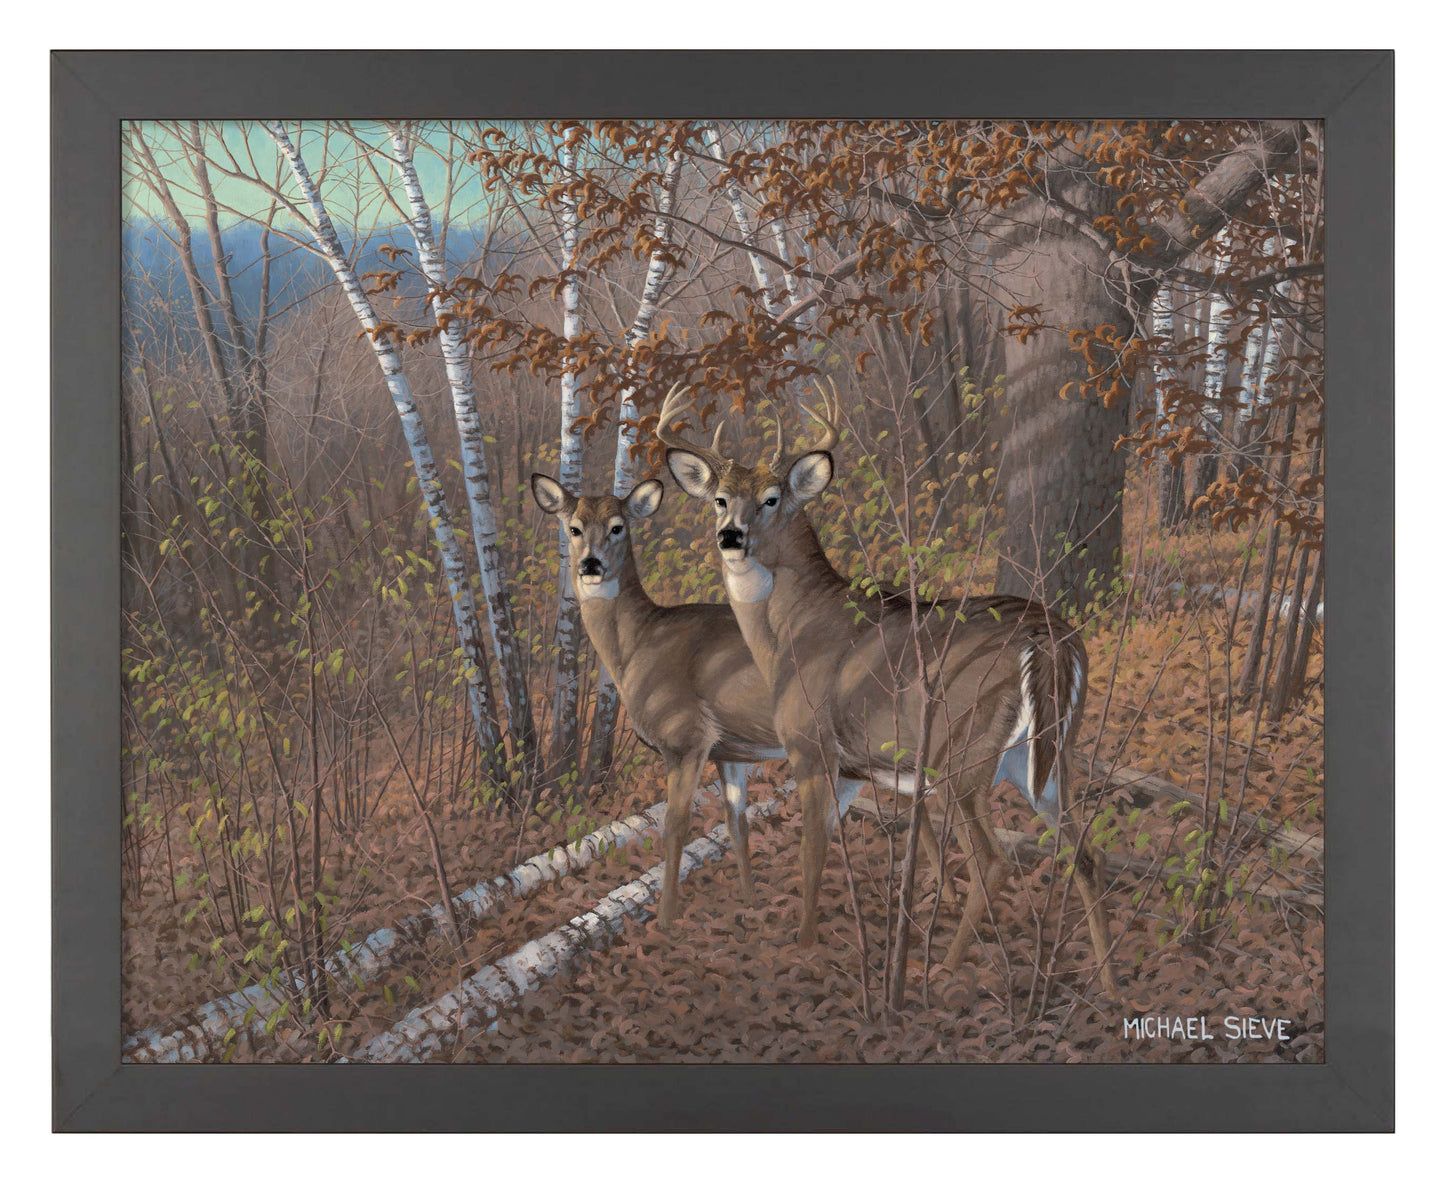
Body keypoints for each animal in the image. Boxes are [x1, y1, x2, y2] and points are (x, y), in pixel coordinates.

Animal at [530, 467, 961, 928]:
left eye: (617, 526)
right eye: (573, 528)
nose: (590, 564)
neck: (636, 645)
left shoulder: (686, 736)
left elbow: (675, 826)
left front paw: (665, 920)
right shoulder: (729, 751)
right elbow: (737, 822)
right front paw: (751, 902)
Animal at [658, 383, 1116, 995]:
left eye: (773, 498)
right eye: (718, 498)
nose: (730, 536)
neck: (790, 633)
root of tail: (1051, 642)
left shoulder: (811, 746)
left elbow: (812, 851)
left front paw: (804, 946)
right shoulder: (861, 768)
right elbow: (874, 846)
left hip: (962, 753)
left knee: (995, 861)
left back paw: (943, 973)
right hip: (1048, 757)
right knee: (1088, 855)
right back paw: (1108, 984)